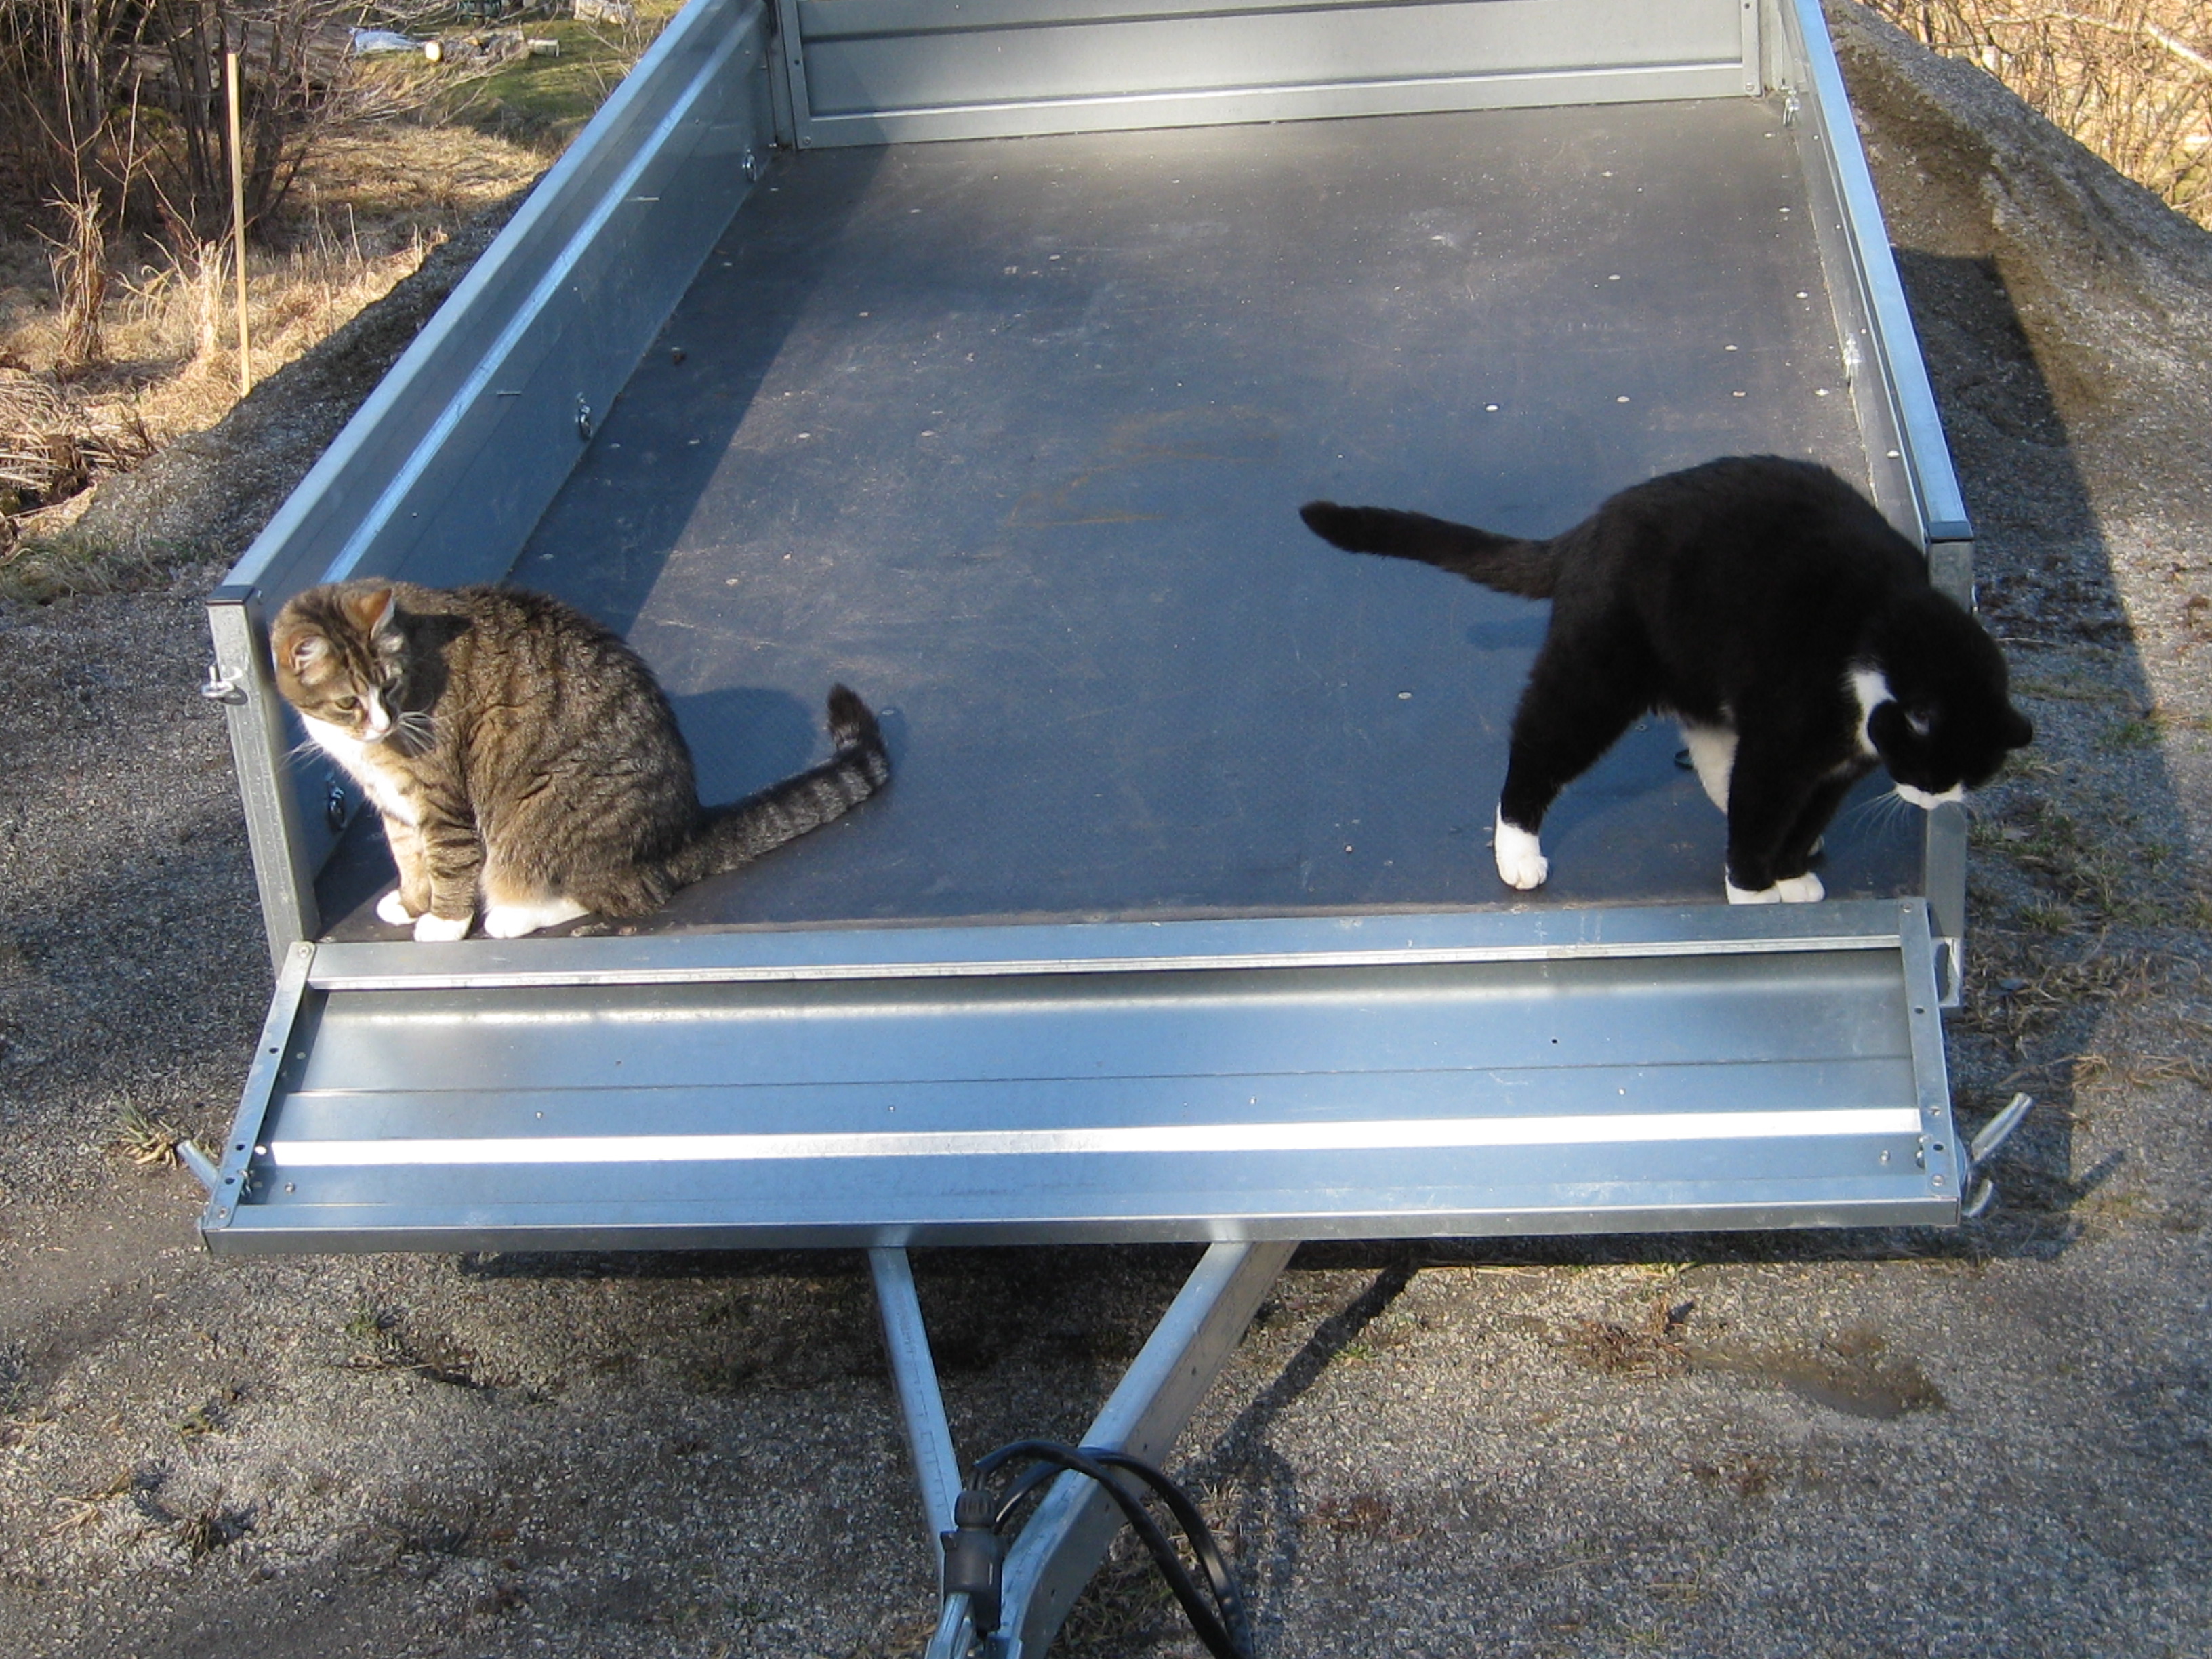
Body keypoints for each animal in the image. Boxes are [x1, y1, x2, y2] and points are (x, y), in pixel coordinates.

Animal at [272, 580, 890, 940]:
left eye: (392, 686)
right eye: (350, 701)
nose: (384, 723)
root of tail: (685, 828)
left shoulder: (439, 797)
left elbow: (447, 857)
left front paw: (442, 922)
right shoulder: (392, 801)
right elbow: (408, 856)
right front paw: (409, 902)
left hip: (538, 820)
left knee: (625, 893)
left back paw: (513, 914)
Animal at [1300, 456, 2032, 904]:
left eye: (1970, 776)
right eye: (1932, 768)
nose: (1933, 803)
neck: (1883, 631)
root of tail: (1589, 529)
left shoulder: (1833, 765)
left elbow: (1798, 818)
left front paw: (1791, 871)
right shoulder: (1783, 745)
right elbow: (1761, 812)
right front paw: (1753, 889)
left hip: (1701, 678)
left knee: (1709, 757)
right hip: (1595, 681)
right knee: (1538, 747)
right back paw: (1517, 851)